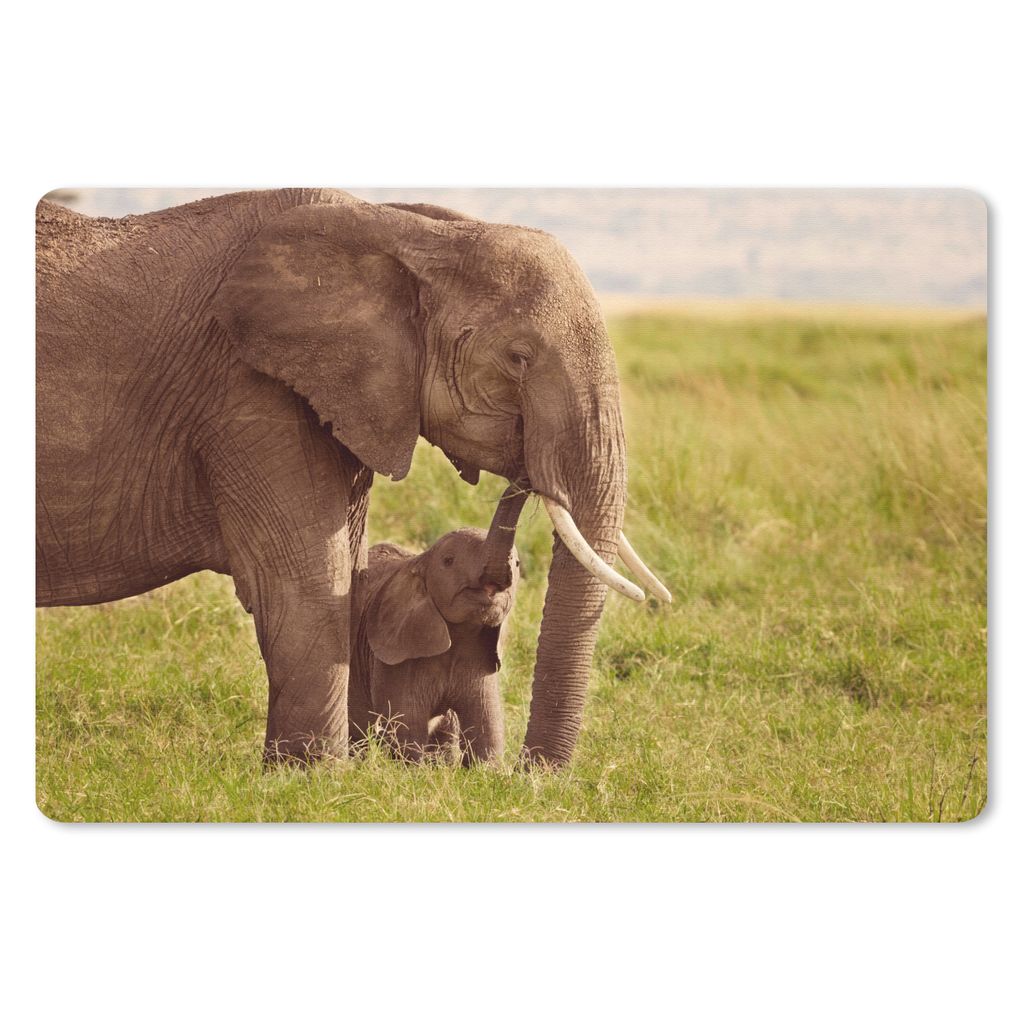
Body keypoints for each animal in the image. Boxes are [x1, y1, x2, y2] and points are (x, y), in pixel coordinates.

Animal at [348, 512, 520, 765]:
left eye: (517, 564)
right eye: (448, 561)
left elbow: (487, 726)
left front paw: (487, 770)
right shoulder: (395, 659)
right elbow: (407, 725)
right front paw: (411, 769)